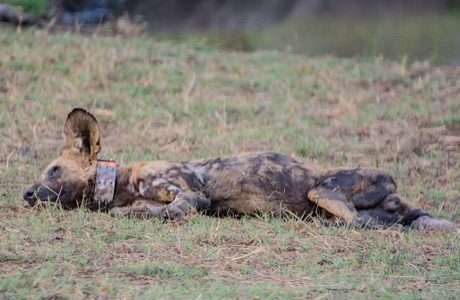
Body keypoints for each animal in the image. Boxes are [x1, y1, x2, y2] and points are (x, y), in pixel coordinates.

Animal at [24, 108, 456, 230]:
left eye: (54, 170)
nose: (26, 193)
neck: (121, 182)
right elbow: (143, 211)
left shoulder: (190, 193)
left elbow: (170, 210)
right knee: (373, 222)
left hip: (323, 190)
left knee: (349, 216)